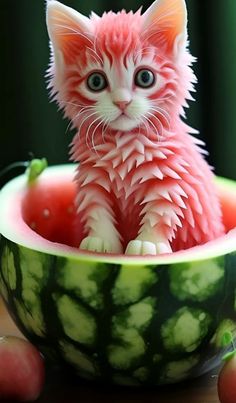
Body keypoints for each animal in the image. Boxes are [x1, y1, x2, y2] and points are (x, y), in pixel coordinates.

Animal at [46, 0, 225, 256]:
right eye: (96, 81)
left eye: (145, 77)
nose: (122, 102)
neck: (123, 144)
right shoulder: (92, 176)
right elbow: (97, 207)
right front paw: (100, 241)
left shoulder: (170, 176)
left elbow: (161, 210)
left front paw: (148, 243)